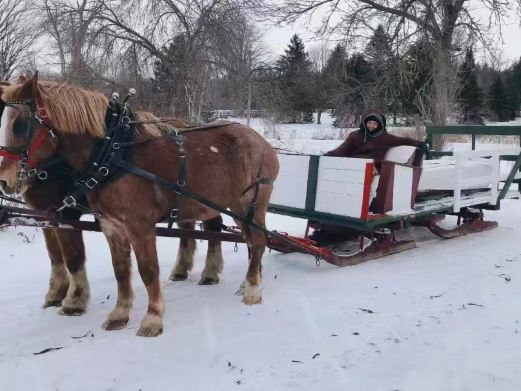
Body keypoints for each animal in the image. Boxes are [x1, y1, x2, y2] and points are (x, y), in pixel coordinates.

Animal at [0, 75, 280, 338]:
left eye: (20, 124)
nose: (4, 180)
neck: (112, 155)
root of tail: (262, 142)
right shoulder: (110, 225)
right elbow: (120, 271)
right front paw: (119, 315)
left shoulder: (137, 226)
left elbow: (146, 271)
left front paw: (152, 319)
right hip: (229, 206)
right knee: (242, 238)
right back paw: (246, 281)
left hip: (251, 205)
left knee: (257, 242)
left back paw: (252, 290)